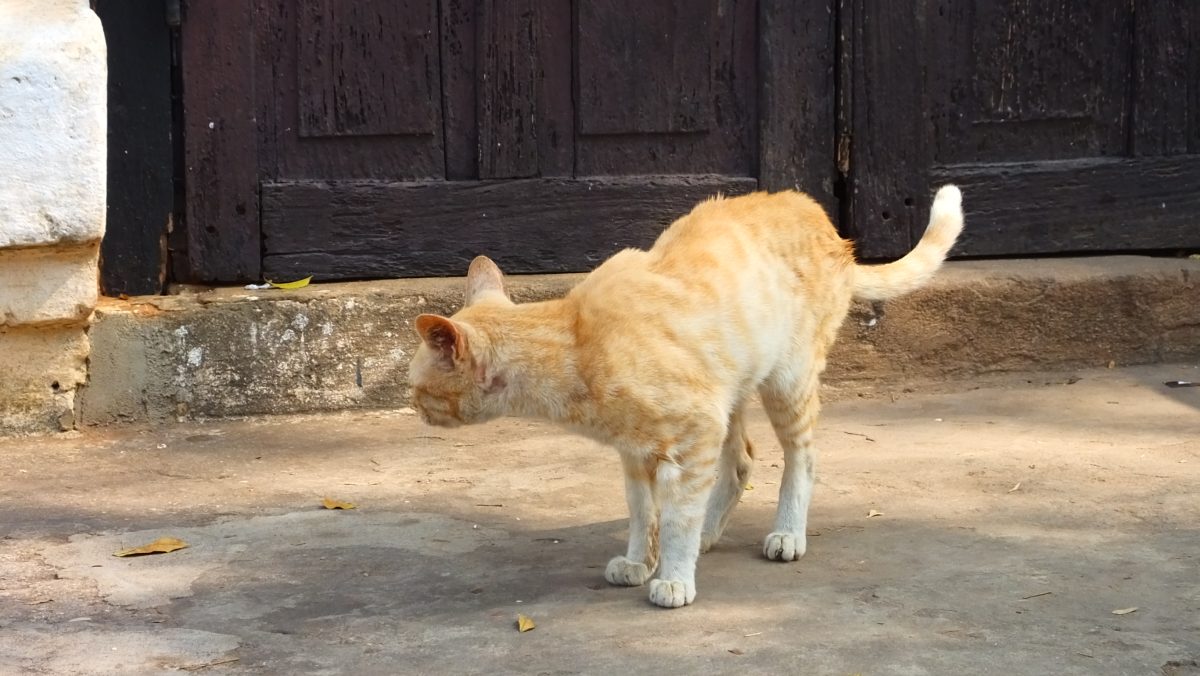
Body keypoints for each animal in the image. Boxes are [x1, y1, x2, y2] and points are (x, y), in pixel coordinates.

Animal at [408, 184, 964, 608]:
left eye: (415, 389)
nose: (414, 410)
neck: (576, 343)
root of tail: (824, 219)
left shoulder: (694, 434)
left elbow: (676, 518)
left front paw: (673, 576)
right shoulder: (635, 452)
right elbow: (643, 513)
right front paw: (640, 561)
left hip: (785, 383)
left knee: (801, 457)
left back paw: (787, 532)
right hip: (730, 392)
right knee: (740, 461)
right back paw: (710, 533)